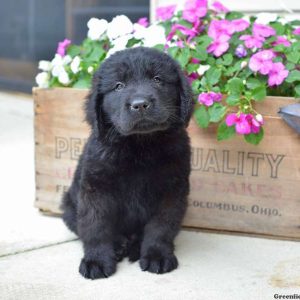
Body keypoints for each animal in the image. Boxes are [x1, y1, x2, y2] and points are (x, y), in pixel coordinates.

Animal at [61, 47, 193, 278]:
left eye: (157, 79)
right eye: (118, 86)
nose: (140, 105)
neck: (139, 146)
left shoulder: (172, 189)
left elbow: (161, 226)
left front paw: (157, 255)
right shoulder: (96, 188)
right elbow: (96, 226)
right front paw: (96, 260)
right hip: (68, 205)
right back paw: (119, 245)